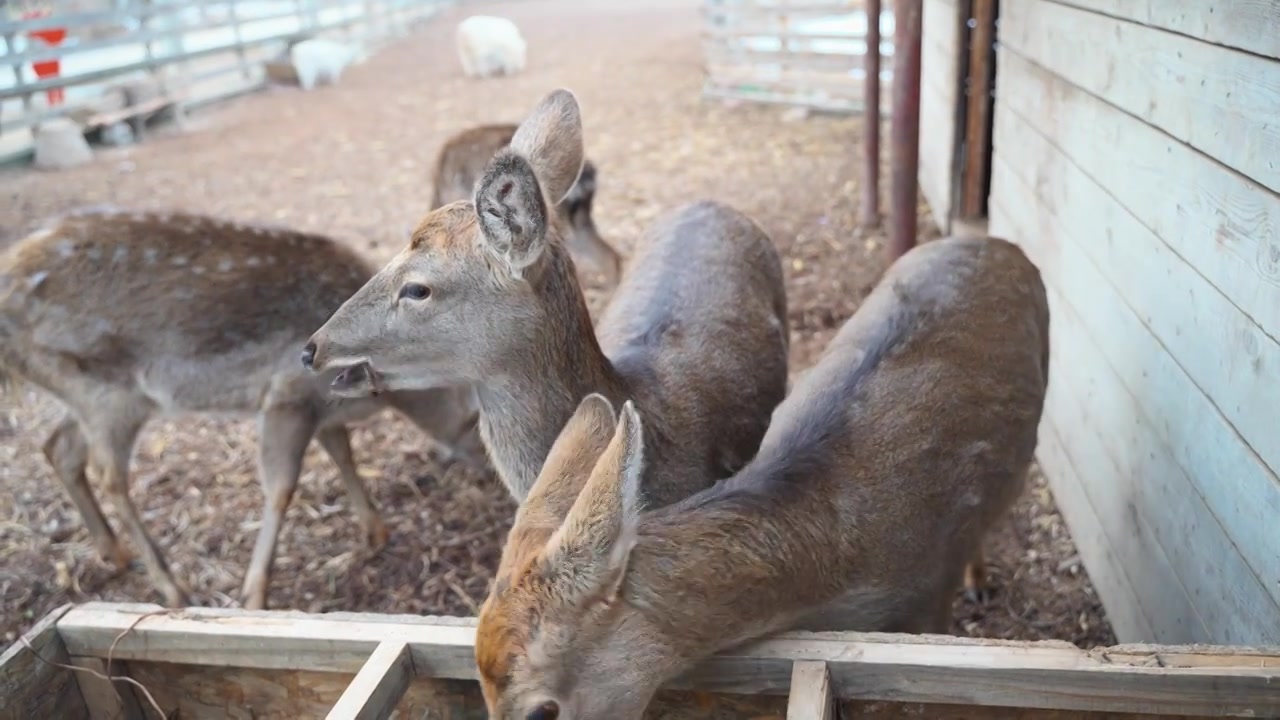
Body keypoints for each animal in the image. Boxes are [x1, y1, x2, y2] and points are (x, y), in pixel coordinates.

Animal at [0, 206, 483, 604]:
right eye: (482, 427)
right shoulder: (286, 394)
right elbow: (281, 487)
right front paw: (254, 594)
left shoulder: (324, 409)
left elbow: (343, 454)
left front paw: (375, 530)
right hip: (107, 392)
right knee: (109, 475)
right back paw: (172, 588)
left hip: (79, 392)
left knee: (58, 447)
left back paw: (113, 552)